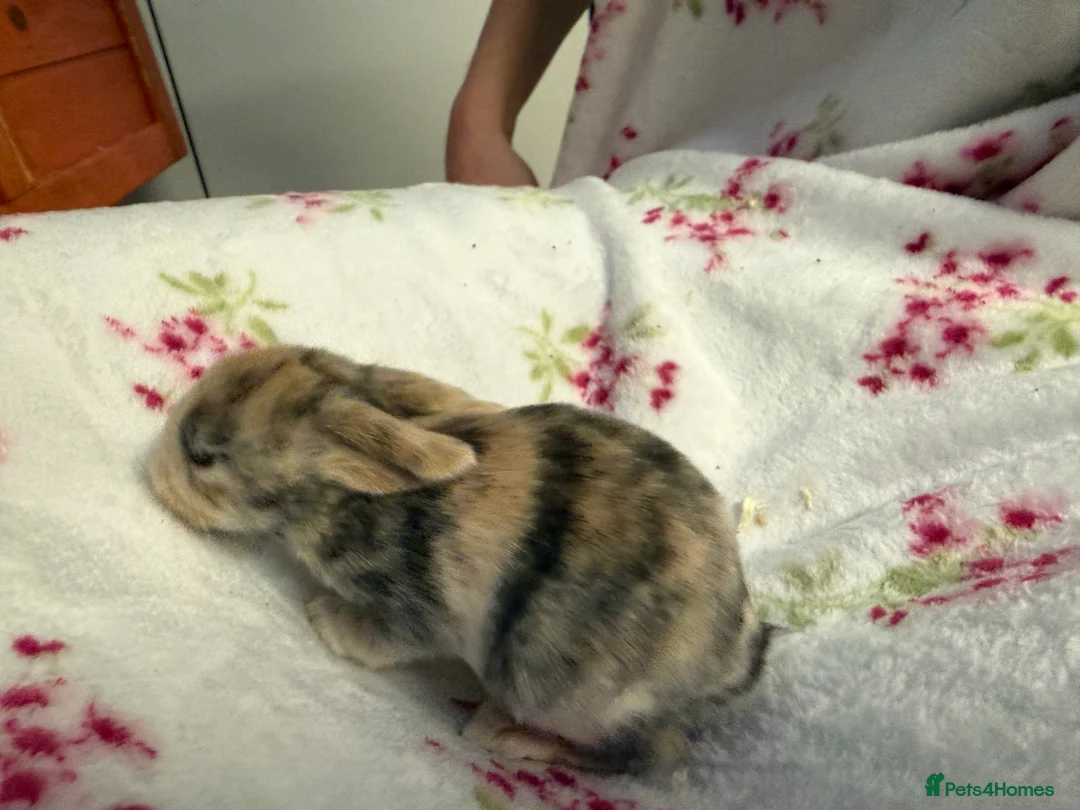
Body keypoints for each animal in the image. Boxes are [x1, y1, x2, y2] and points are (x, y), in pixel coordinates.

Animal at [148, 345, 771, 774]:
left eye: (203, 457)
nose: (150, 471)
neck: (346, 497)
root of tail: (731, 663)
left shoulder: (416, 614)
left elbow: (383, 641)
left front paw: (325, 619)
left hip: (553, 691)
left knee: (649, 753)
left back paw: (499, 734)